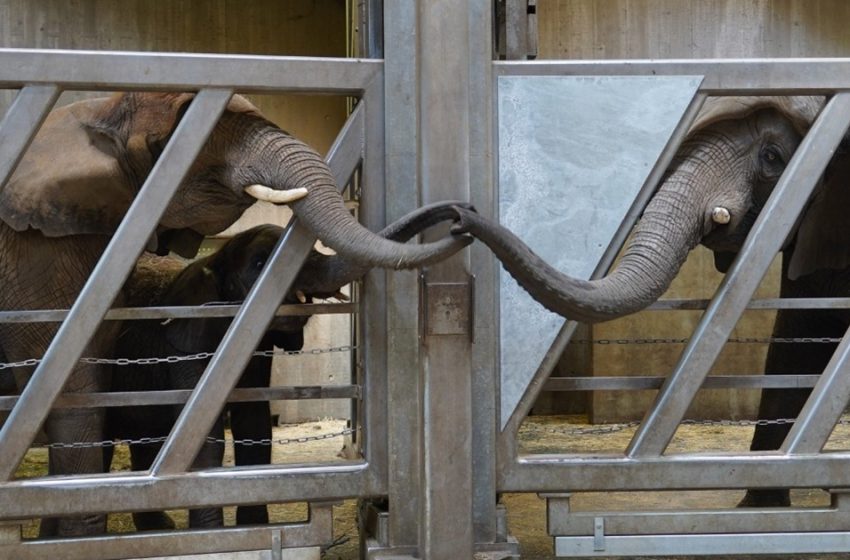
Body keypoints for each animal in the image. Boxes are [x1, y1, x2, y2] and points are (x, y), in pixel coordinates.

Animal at [107, 201, 470, 528]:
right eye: (259, 264)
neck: (213, 260)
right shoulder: (188, 342)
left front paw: (254, 528)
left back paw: (159, 526)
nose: (461, 218)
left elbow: (254, 423)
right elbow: (204, 437)